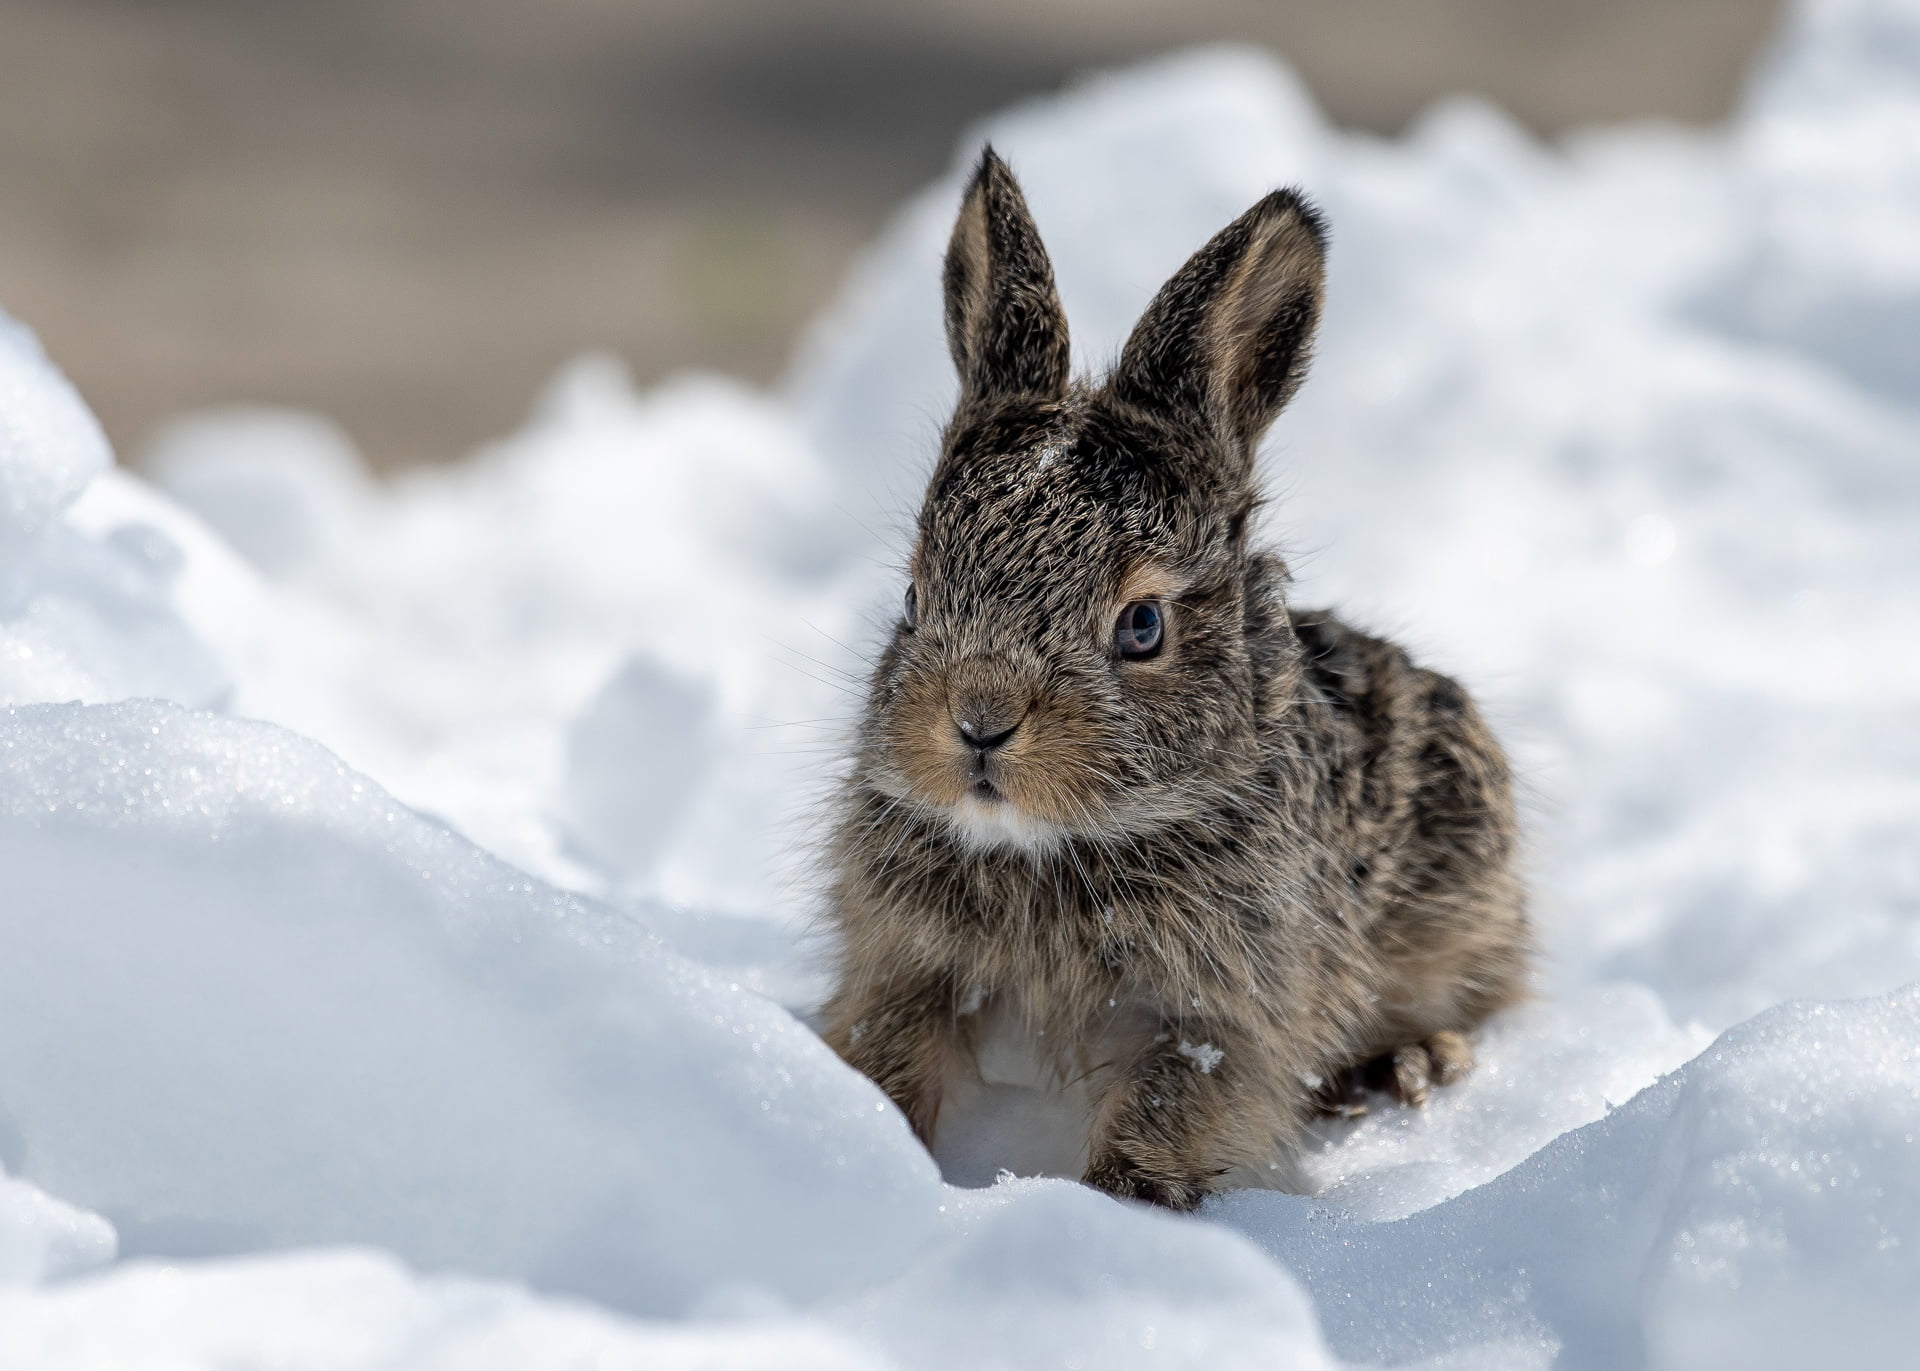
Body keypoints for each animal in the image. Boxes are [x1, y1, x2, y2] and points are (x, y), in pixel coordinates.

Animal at [820, 147, 1528, 1210]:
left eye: (1142, 626)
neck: (1048, 850)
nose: (980, 720)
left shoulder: (1227, 1010)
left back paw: (1412, 1062)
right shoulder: (905, 965)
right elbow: (891, 1056)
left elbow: (1171, 1107)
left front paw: (1120, 1205)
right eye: (914, 595)